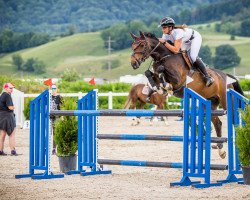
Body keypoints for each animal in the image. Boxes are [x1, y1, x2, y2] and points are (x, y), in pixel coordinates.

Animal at [130, 31, 243, 159]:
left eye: (142, 45)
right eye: (132, 46)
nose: (133, 63)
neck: (164, 57)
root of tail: (226, 76)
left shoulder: (178, 80)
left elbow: (161, 70)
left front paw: (166, 86)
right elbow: (150, 74)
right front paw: (156, 89)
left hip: (226, 101)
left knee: (233, 120)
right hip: (210, 103)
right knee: (217, 123)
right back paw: (221, 151)